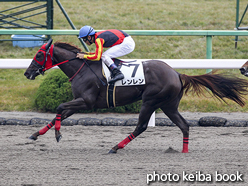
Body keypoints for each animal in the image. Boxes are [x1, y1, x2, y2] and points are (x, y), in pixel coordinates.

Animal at [24, 38, 248, 153]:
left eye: (39, 55)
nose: (27, 73)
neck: (82, 69)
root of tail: (176, 73)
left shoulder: (86, 102)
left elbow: (59, 108)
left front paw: (58, 135)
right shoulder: (79, 102)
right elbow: (59, 114)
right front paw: (35, 134)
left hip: (150, 101)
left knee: (141, 126)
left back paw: (116, 147)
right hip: (168, 105)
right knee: (184, 125)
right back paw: (183, 151)